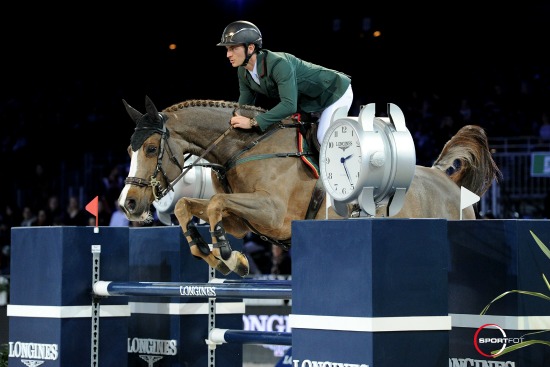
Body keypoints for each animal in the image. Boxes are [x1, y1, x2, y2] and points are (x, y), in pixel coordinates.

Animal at [119, 96, 504, 278]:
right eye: (128, 150)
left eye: (151, 149)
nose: (129, 204)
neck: (244, 148)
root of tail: (445, 178)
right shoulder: (240, 220)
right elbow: (190, 207)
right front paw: (222, 257)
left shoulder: (273, 213)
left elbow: (212, 205)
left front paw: (229, 257)